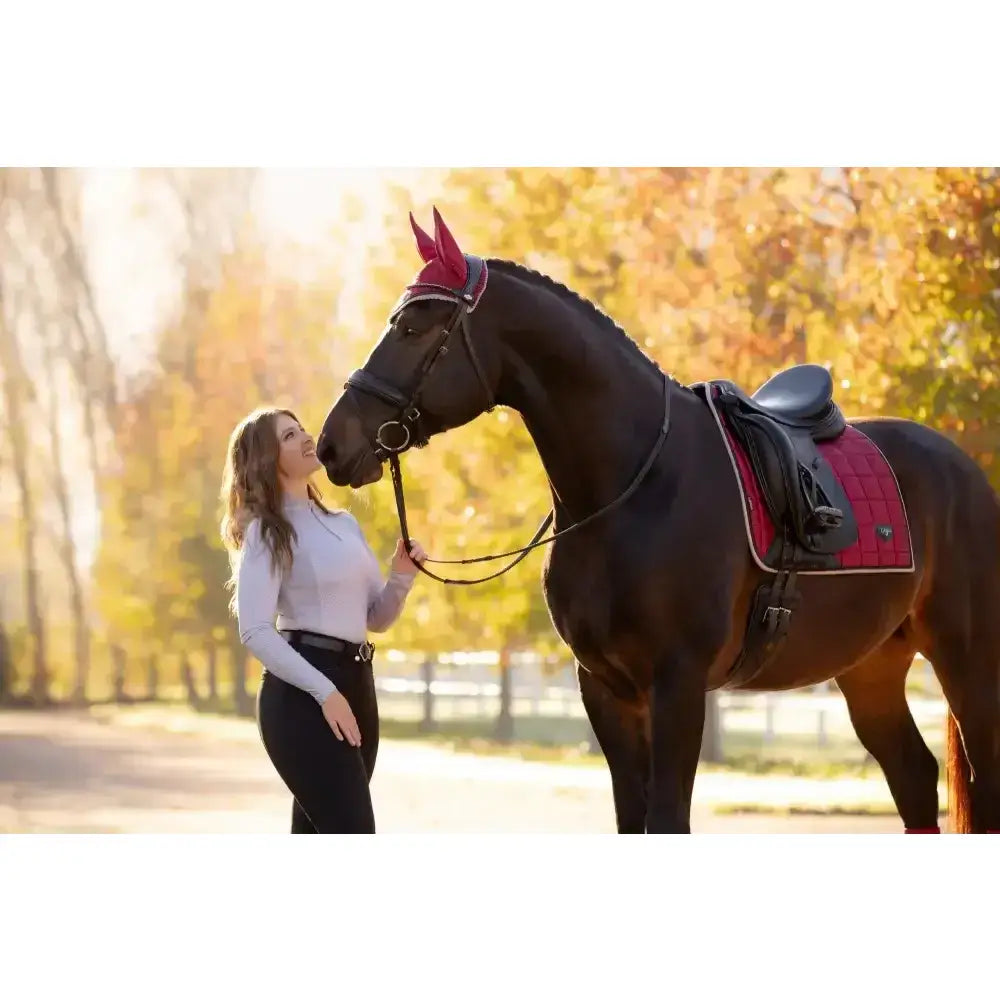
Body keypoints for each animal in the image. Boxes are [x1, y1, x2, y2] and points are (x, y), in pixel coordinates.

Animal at [316, 207, 1000, 834]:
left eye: (411, 327)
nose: (331, 444)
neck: (634, 488)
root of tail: (963, 468)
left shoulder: (678, 685)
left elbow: (668, 817)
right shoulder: (606, 690)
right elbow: (633, 816)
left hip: (967, 660)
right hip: (870, 666)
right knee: (914, 777)